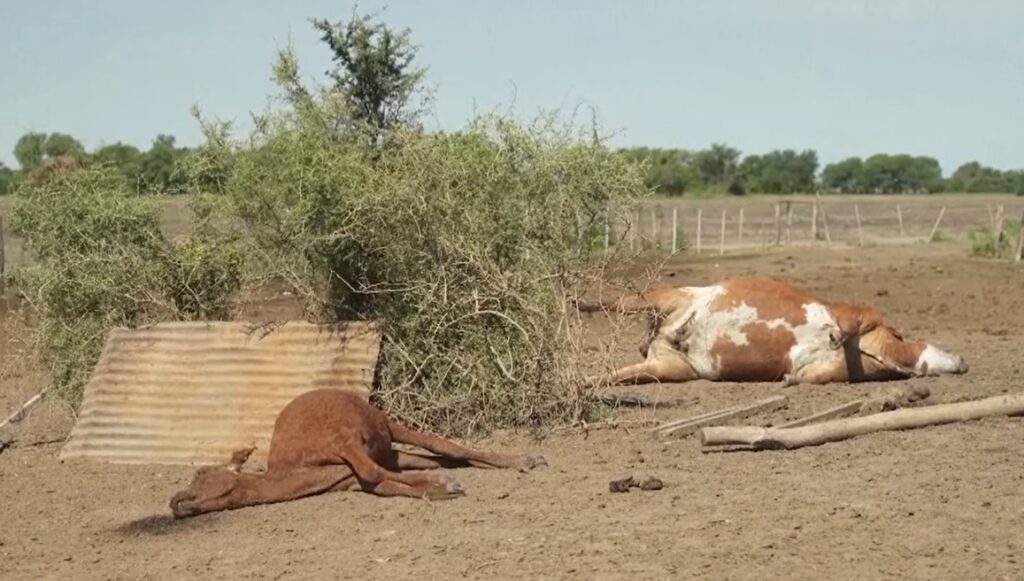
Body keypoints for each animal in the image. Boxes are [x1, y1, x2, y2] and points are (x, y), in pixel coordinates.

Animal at [577, 276, 966, 387]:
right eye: (899, 335)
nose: (963, 361)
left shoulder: (821, 372)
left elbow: (805, 377)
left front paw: (788, 381)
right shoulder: (859, 314)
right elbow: (851, 323)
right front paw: (837, 335)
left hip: (670, 367)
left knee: (617, 374)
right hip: (669, 296)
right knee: (619, 302)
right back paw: (579, 301)